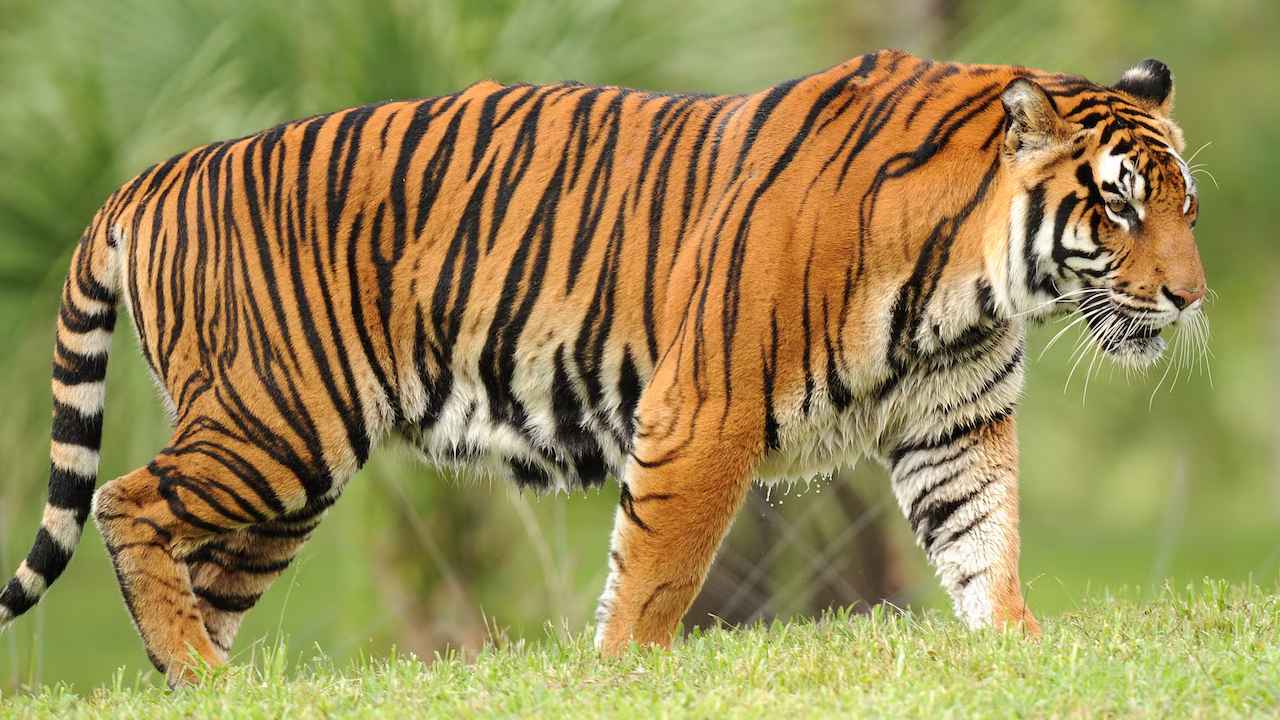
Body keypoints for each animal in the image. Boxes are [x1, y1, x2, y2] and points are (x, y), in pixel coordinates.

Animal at [0, 49, 1206, 685]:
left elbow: (981, 545)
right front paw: (625, 674)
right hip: (277, 422)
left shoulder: (955, 426)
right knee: (123, 498)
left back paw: (202, 684)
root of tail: (149, 177)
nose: (1190, 297)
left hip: (284, 480)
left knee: (193, 564)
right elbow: (658, 572)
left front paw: (1021, 650)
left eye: (1183, 207)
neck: (972, 281)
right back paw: (198, 671)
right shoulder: (704, 411)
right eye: (1116, 205)